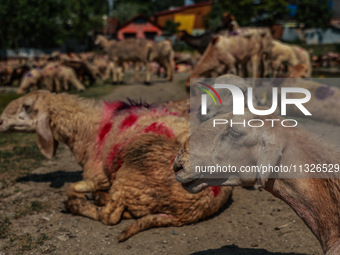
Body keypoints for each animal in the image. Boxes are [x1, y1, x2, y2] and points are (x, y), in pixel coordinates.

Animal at [0, 91, 232, 241]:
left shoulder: (96, 175)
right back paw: (100, 199)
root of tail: (195, 209)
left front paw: (78, 198)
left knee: (110, 216)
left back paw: (77, 205)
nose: (0, 120)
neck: (87, 130)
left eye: (27, 107)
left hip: (132, 170)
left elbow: (72, 188)